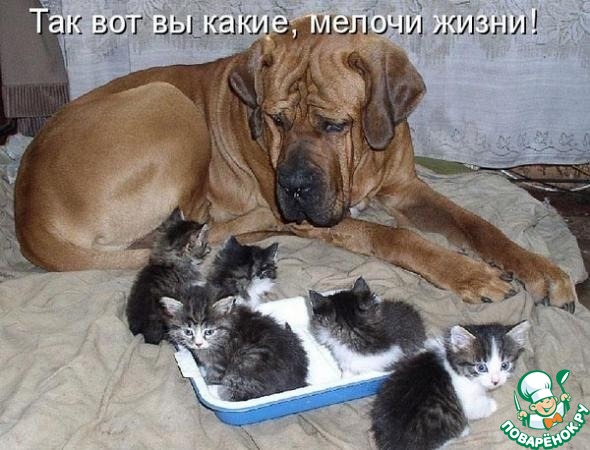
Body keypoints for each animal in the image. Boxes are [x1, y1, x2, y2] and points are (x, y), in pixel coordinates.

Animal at [14, 17, 576, 311]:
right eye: (276, 120)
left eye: (335, 125)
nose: (295, 188)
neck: (360, 166)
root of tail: (27, 214)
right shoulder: (326, 219)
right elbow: (398, 238)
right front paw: (468, 273)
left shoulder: (406, 189)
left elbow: (476, 225)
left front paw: (539, 270)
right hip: (168, 102)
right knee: (189, 223)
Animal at [160, 295, 309, 401]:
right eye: (188, 332)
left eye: (209, 332)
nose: (198, 344)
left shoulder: (219, 362)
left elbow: (214, 376)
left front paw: (207, 381)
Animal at [371, 321, 530, 450]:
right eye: (481, 367)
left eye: (505, 365)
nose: (495, 381)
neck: (453, 364)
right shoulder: (467, 401)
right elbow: (476, 408)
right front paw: (491, 404)